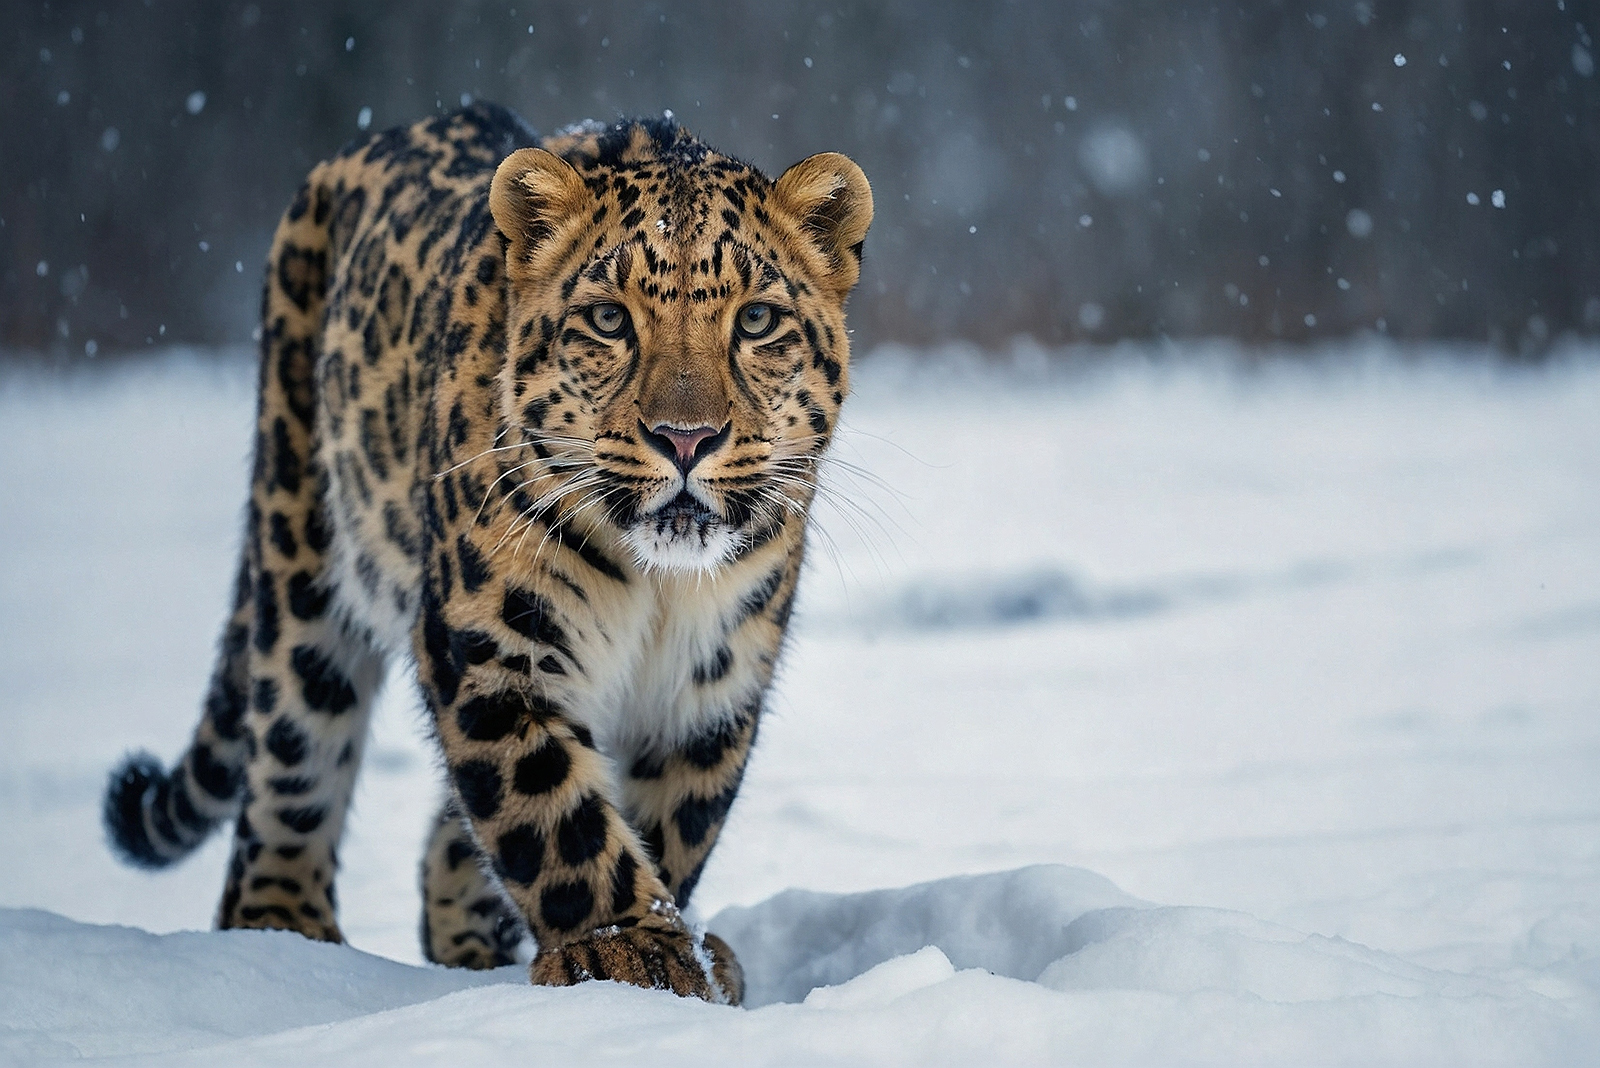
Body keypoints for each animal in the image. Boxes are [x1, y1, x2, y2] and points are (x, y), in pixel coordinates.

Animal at [103, 103, 876, 1004]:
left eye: (756, 321)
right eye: (609, 320)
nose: (685, 438)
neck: (659, 586)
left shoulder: (711, 678)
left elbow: (674, 816)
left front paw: (674, 947)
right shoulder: (491, 647)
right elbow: (551, 813)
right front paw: (629, 951)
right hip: (298, 542)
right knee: (295, 746)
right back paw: (284, 937)